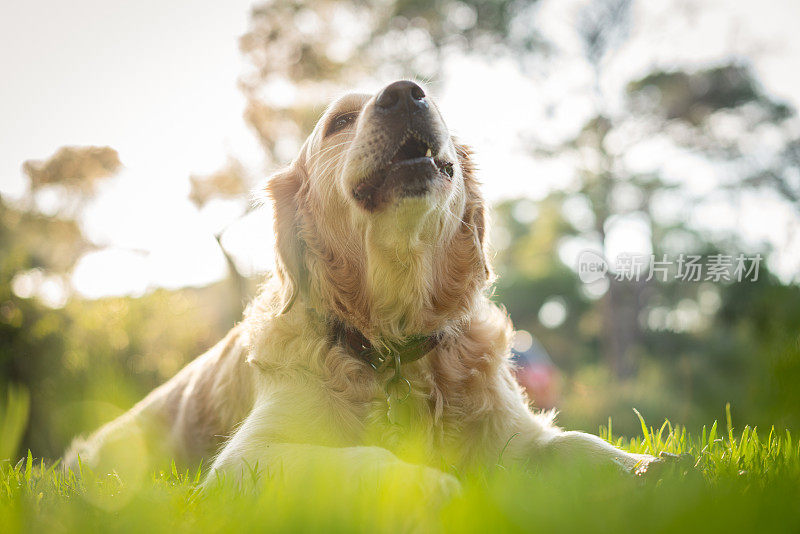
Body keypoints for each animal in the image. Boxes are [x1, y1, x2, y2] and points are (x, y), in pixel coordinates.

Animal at [65, 80, 660, 494]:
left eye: (432, 98)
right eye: (340, 121)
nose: (405, 94)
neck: (395, 341)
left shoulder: (517, 434)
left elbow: (581, 444)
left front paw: (652, 466)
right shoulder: (245, 460)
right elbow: (361, 460)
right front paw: (425, 484)